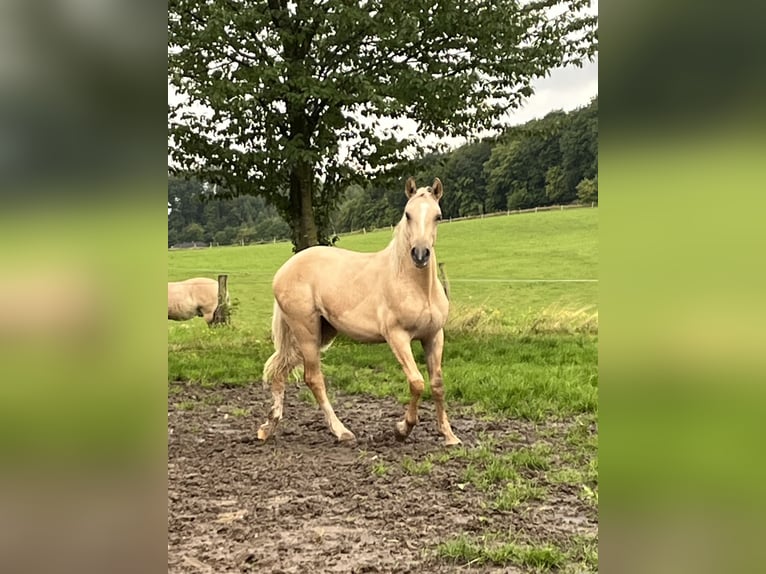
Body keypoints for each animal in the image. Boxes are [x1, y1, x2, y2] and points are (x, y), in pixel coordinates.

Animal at [258, 178, 462, 448]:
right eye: (407, 214)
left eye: (437, 216)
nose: (420, 254)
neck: (416, 287)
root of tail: (283, 271)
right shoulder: (397, 337)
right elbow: (417, 382)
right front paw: (402, 429)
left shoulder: (434, 336)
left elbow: (437, 384)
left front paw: (449, 436)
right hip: (306, 333)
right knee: (313, 378)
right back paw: (341, 431)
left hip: (320, 333)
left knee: (280, 370)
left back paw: (269, 426)